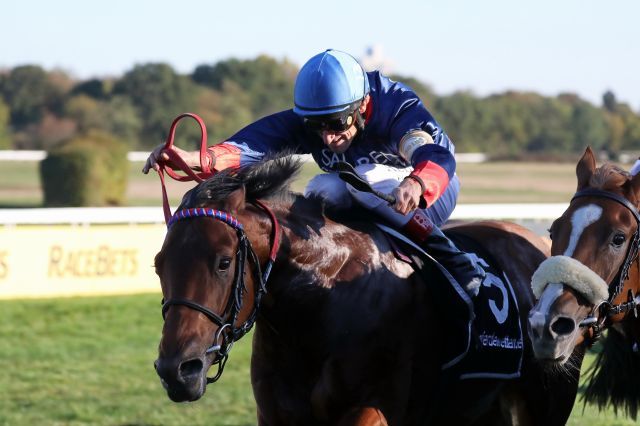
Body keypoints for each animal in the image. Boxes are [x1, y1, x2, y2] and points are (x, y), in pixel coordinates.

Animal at [156, 156, 580, 426]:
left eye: (223, 261)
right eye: (159, 264)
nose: (176, 370)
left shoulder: (371, 407)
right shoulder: (277, 413)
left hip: (548, 399)